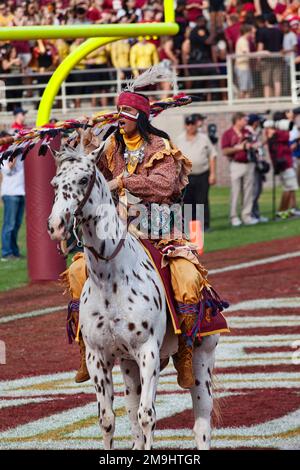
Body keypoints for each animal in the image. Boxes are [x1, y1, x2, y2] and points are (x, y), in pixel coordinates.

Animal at [48, 141, 219, 450]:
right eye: (55, 183)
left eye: (83, 179)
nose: (56, 225)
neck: (111, 279)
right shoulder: (98, 357)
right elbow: (108, 420)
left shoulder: (147, 352)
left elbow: (147, 416)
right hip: (128, 366)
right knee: (132, 415)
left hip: (202, 361)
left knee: (201, 423)